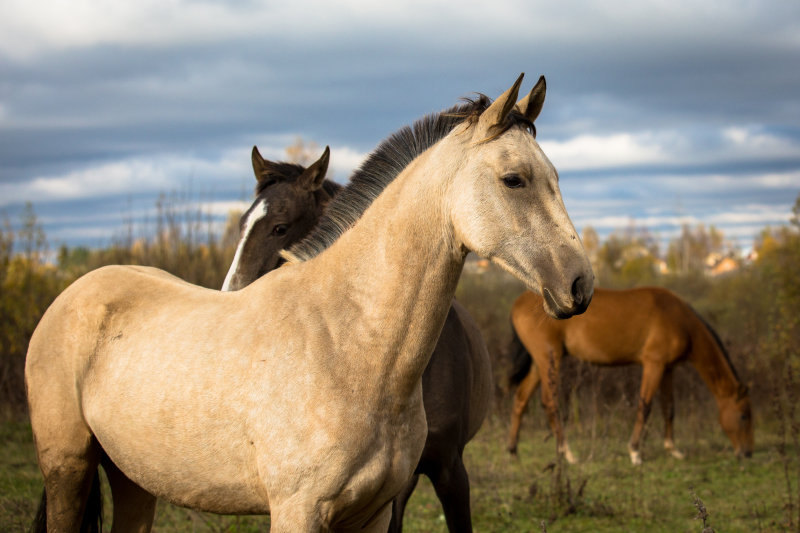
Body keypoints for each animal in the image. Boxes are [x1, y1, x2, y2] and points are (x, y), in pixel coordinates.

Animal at [510, 284, 752, 464]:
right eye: (743, 415)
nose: (747, 453)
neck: (680, 319)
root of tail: (517, 304)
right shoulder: (653, 364)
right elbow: (645, 406)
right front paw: (635, 452)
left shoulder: (668, 368)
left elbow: (669, 408)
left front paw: (672, 449)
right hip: (550, 358)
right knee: (550, 402)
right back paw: (566, 453)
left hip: (539, 363)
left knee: (521, 398)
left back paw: (513, 450)